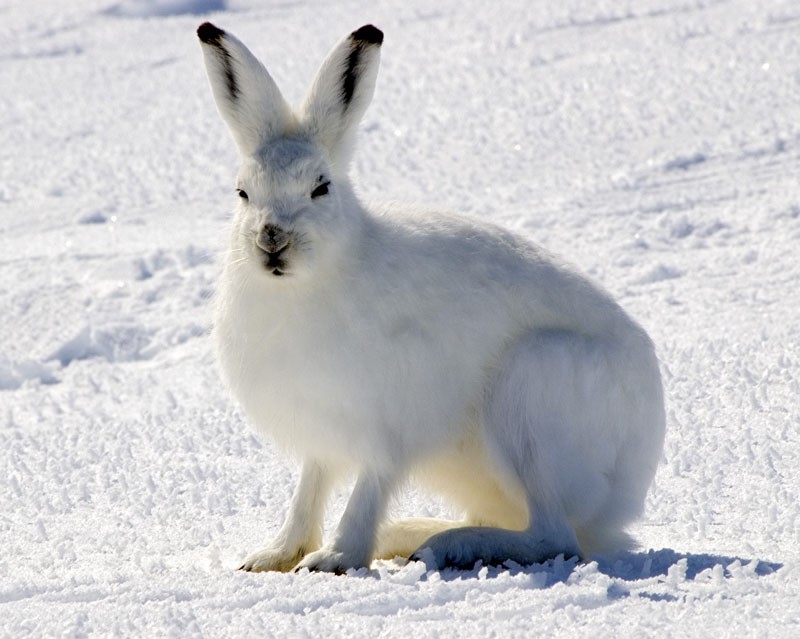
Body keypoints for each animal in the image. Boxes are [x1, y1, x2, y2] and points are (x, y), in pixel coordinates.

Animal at [197, 21, 666, 574]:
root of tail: (629, 488)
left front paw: (335, 557)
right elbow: (309, 489)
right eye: (242, 193)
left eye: (321, 188)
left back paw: (449, 546)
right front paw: (274, 555)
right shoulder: (322, 433)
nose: (272, 240)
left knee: (555, 536)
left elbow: (368, 489)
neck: (311, 281)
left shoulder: (389, 425)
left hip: (532, 393)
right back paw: (412, 535)